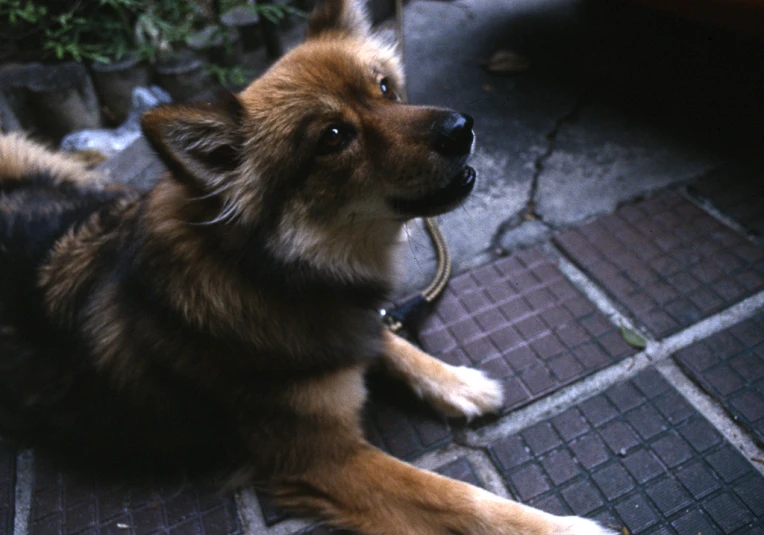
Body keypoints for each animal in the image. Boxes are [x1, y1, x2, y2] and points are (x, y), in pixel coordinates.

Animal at [0, 2, 616, 532]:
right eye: (334, 137)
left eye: (384, 87)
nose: (461, 127)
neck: (270, 273)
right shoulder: (322, 456)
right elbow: (459, 498)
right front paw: (560, 528)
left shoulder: (347, 323)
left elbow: (385, 336)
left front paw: (456, 381)